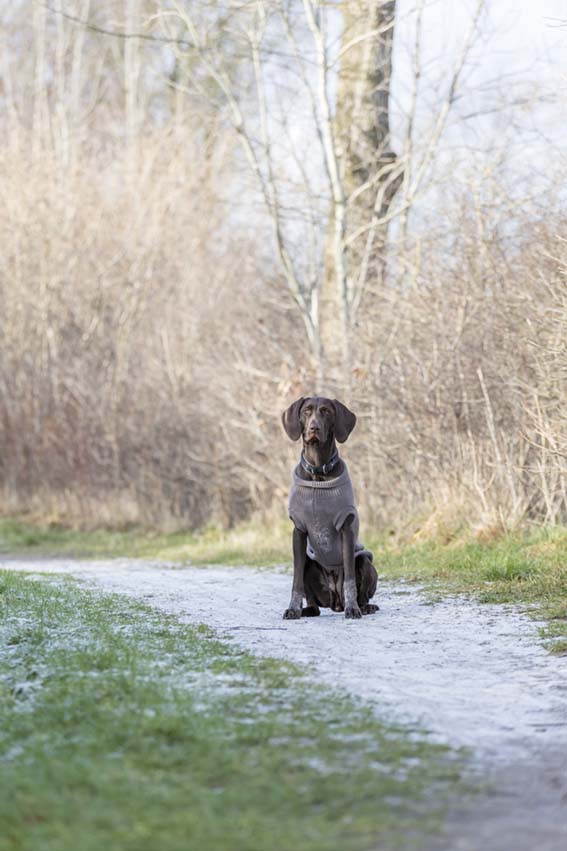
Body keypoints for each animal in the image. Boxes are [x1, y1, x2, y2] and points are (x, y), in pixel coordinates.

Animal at [282, 396, 380, 624]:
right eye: (307, 411)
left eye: (326, 411)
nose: (314, 428)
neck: (318, 473)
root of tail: (335, 602)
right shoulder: (298, 531)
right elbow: (296, 581)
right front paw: (293, 609)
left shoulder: (346, 527)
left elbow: (350, 580)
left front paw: (353, 609)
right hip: (310, 563)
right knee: (315, 605)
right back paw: (307, 610)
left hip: (364, 560)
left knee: (361, 588)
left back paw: (365, 606)